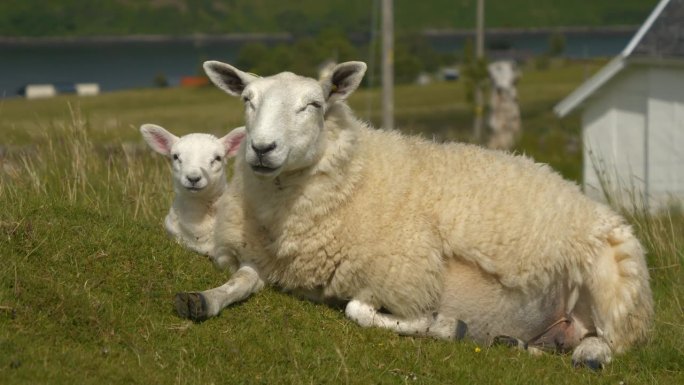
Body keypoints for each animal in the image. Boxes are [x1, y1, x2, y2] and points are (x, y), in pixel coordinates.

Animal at [172, 60, 652, 368]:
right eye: (247, 99)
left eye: (314, 105)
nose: (262, 149)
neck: (356, 177)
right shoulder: (263, 261)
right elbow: (240, 281)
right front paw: (202, 300)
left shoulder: (407, 277)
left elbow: (364, 311)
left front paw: (443, 326)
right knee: (558, 341)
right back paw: (515, 342)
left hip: (615, 281)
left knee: (613, 342)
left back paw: (588, 355)